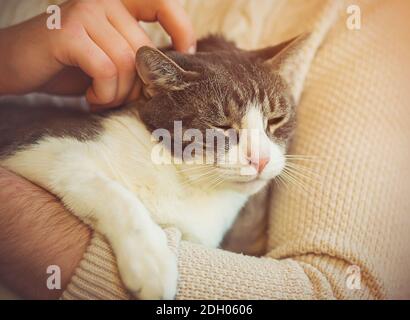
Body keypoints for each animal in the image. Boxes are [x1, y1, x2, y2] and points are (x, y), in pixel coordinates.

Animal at [0, 35, 306, 300]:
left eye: (276, 120)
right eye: (221, 126)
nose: (261, 159)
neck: (183, 181)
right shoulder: (41, 145)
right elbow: (114, 195)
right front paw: (151, 263)